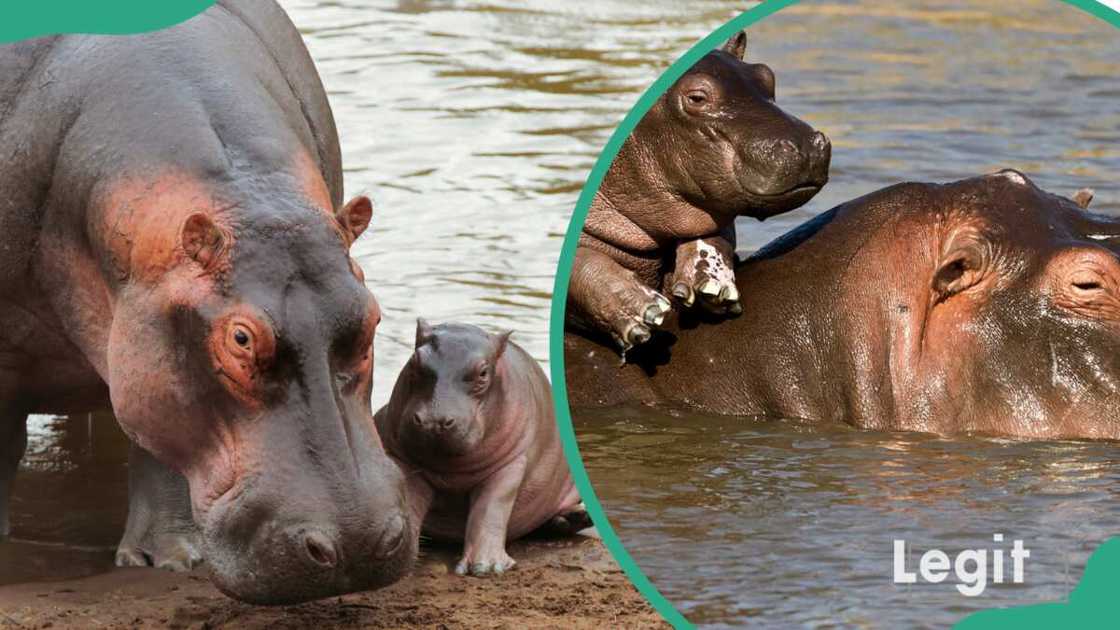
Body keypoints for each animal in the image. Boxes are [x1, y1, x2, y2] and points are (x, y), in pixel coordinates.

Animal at [0, 0, 416, 605]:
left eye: (372, 318)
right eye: (240, 338)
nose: (357, 544)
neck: (246, 194)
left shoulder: (148, 352)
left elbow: (162, 450)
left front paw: (167, 559)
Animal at [376, 318, 586, 573]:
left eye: (483, 373)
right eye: (415, 361)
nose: (433, 421)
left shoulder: (512, 463)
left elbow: (490, 507)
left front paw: (485, 567)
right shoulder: (404, 460)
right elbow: (411, 499)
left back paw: (573, 519)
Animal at [568, 31, 833, 354]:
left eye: (767, 75)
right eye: (697, 97)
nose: (805, 145)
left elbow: (714, 232)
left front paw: (711, 284)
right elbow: (582, 262)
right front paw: (645, 311)